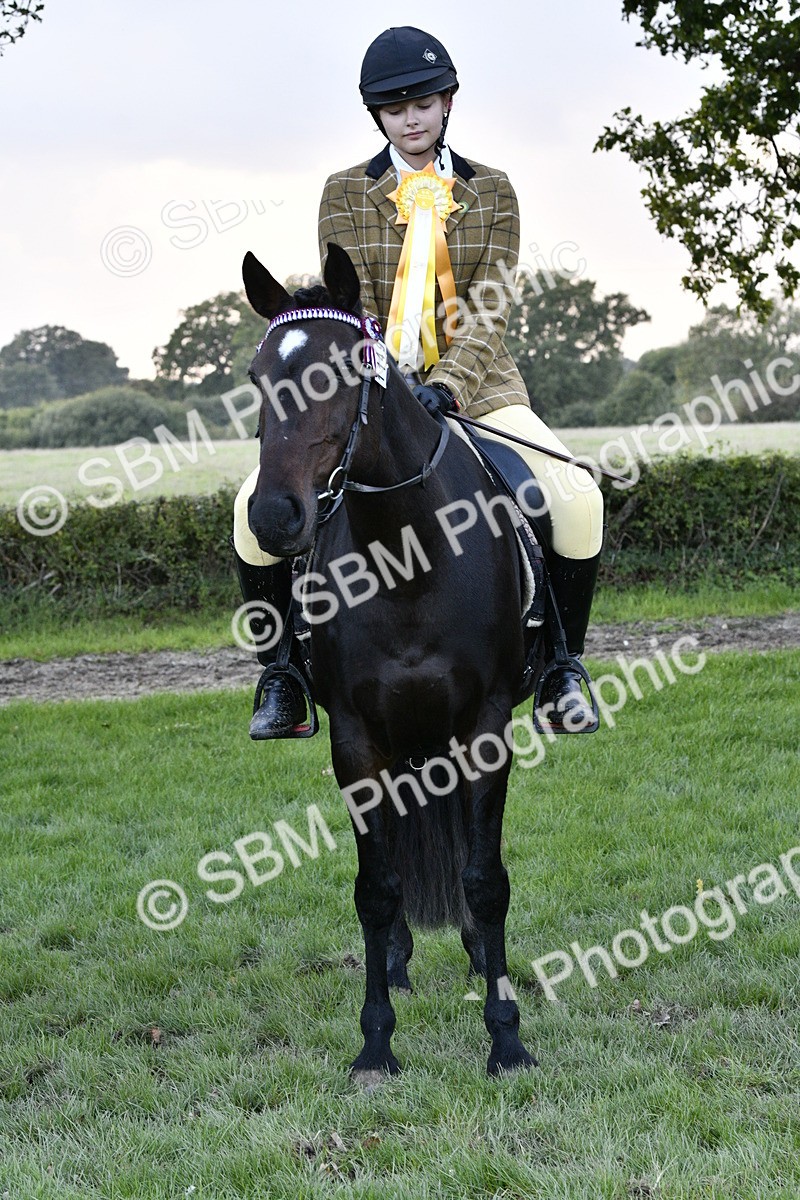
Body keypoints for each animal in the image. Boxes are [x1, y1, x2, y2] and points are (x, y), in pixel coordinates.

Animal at [242, 242, 541, 1082]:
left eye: (342, 373)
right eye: (256, 378)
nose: (274, 518)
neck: (408, 549)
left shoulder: (485, 728)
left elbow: (485, 878)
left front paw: (506, 1037)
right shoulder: (356, 738)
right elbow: (375, 888)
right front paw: (376, 1041)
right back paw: (404, 961)